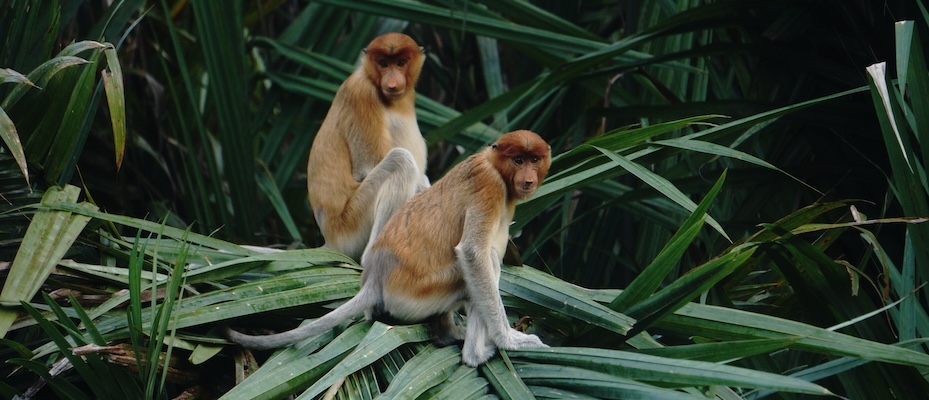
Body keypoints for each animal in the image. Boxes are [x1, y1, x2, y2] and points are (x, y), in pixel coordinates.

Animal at [227, 130, 552, 366]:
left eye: (534, 159)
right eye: (518, 159)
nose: (527, 178)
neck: (495, 166)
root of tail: (376, 278)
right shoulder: (489, 187)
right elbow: (473, 254)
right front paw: (510, 340)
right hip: (419, 292)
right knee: (487, 264)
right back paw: (474, 353)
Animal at [308, 32, 432, 260]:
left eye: (400, 63)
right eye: (383, 64)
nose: (392, 84)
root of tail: (330, 239)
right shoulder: (361, 92)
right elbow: (369, 168)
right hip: (350, 226)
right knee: (401, 161)